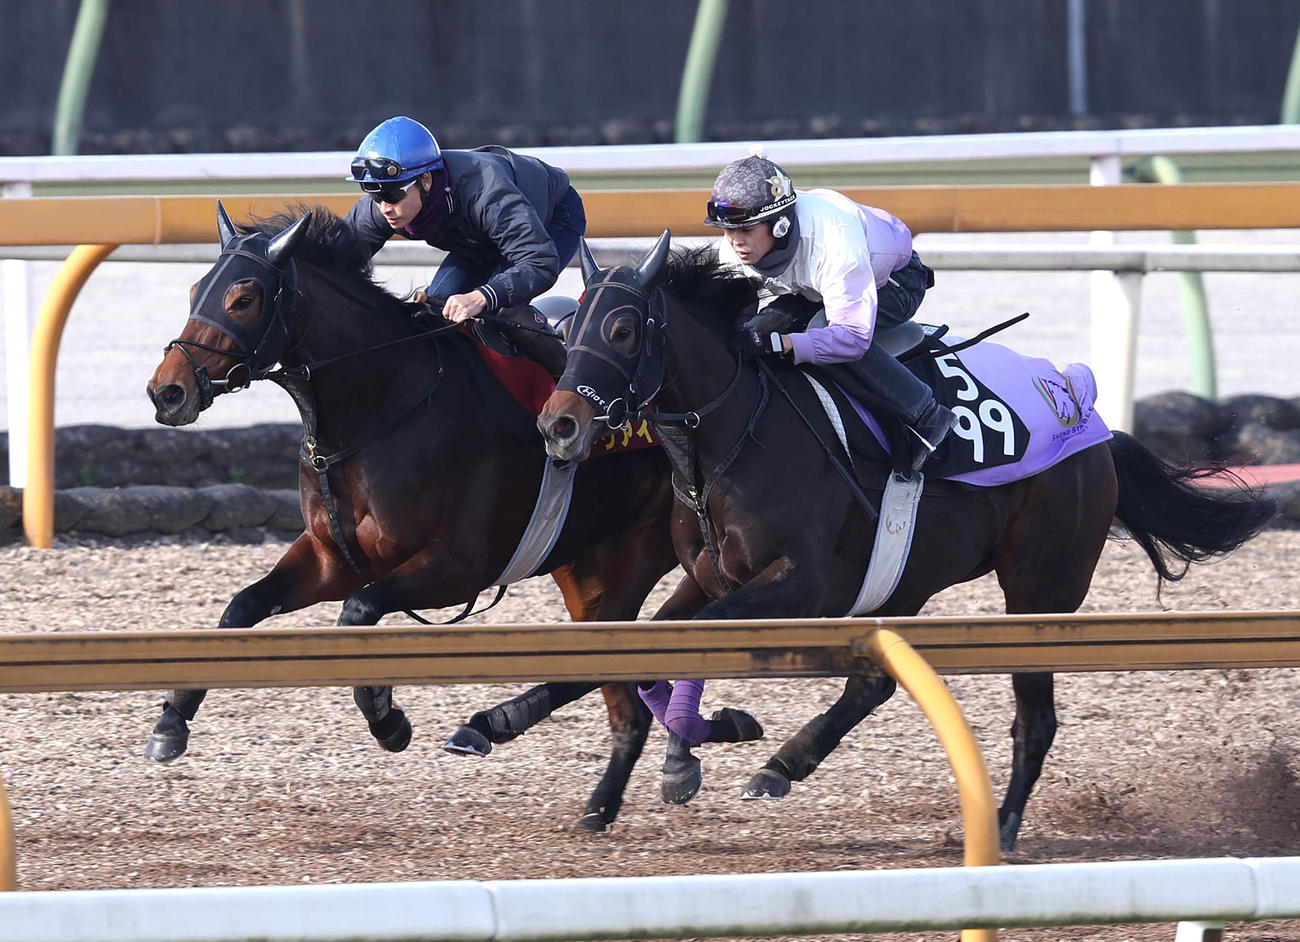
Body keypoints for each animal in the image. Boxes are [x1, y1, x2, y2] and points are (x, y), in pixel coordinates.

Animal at [144, 204, 684, 831]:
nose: (167, 392)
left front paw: (387, 717)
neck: (383, 406)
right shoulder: (331, 558)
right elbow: (240, 608)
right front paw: (171, 721)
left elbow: (357, 615)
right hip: (583, 566)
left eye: (243, 298)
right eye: (193, 289)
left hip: (637, 559)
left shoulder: (458, 568)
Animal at [536, 232, 1278, 850]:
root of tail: (1083, 410)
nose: (558, 425)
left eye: (623, 329)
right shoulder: (708, 576)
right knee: (874, 686)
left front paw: (704, 742)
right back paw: (782, 767)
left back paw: (1003, 826)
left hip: (1040, 590)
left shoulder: (796, 586)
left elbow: (679, 652)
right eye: (566, 327)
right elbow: (640, 652)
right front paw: (634, 767)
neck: (736, 434)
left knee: (1034, 718)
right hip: (910, 576)